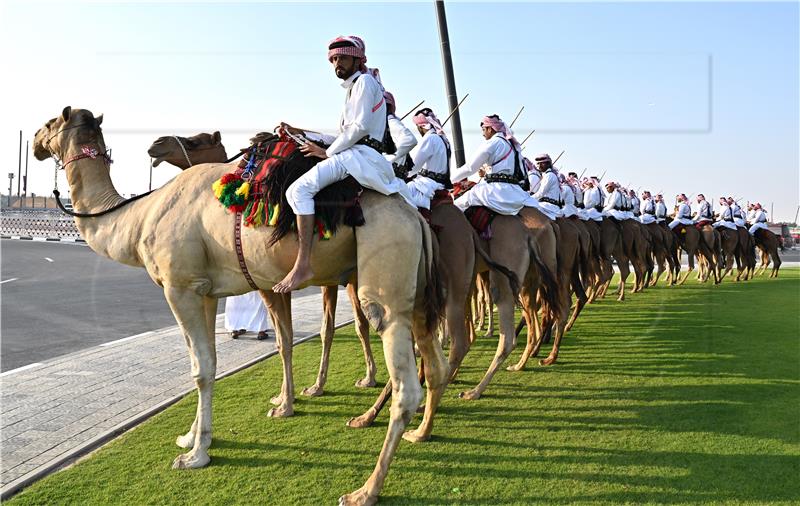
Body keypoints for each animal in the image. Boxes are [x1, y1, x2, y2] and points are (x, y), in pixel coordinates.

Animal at [36, 107, 450, 506]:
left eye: (50, 122)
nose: (37, 142)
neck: (138, 216)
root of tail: (415, 218)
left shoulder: (179, 287)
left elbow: (200, 370)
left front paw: (195, 455)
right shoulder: (203, 291)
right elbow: (211, 363)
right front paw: (193, 437)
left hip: (384, 273)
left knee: (404, 379)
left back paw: (365, 489)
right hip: (416, 295)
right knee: (436, 363)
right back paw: (416, 432)